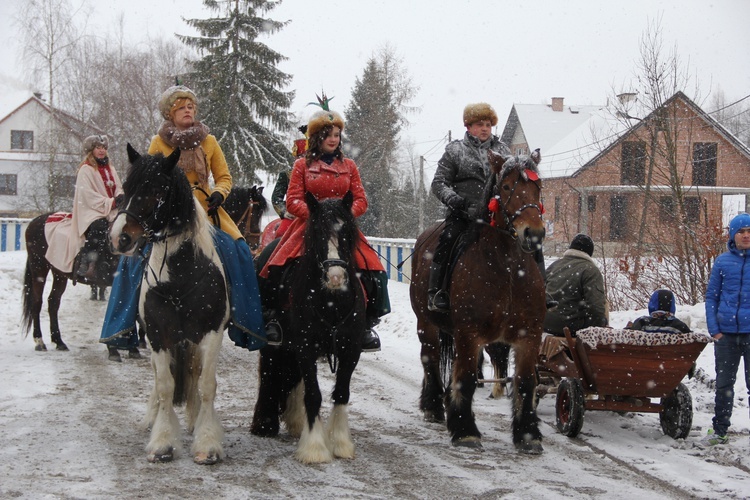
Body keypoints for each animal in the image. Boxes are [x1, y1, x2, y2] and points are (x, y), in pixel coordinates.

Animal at [412, 150, 548, 456]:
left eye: (538, 187)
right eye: (506, 187)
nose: (533, 234)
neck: (507, 269)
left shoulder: (529, 336)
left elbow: (525, 383)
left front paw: (528, 435)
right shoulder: (469, 334)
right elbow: (465, 379)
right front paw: (465, 430)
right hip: (426, 324)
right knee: (430, 359)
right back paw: (433, 406)